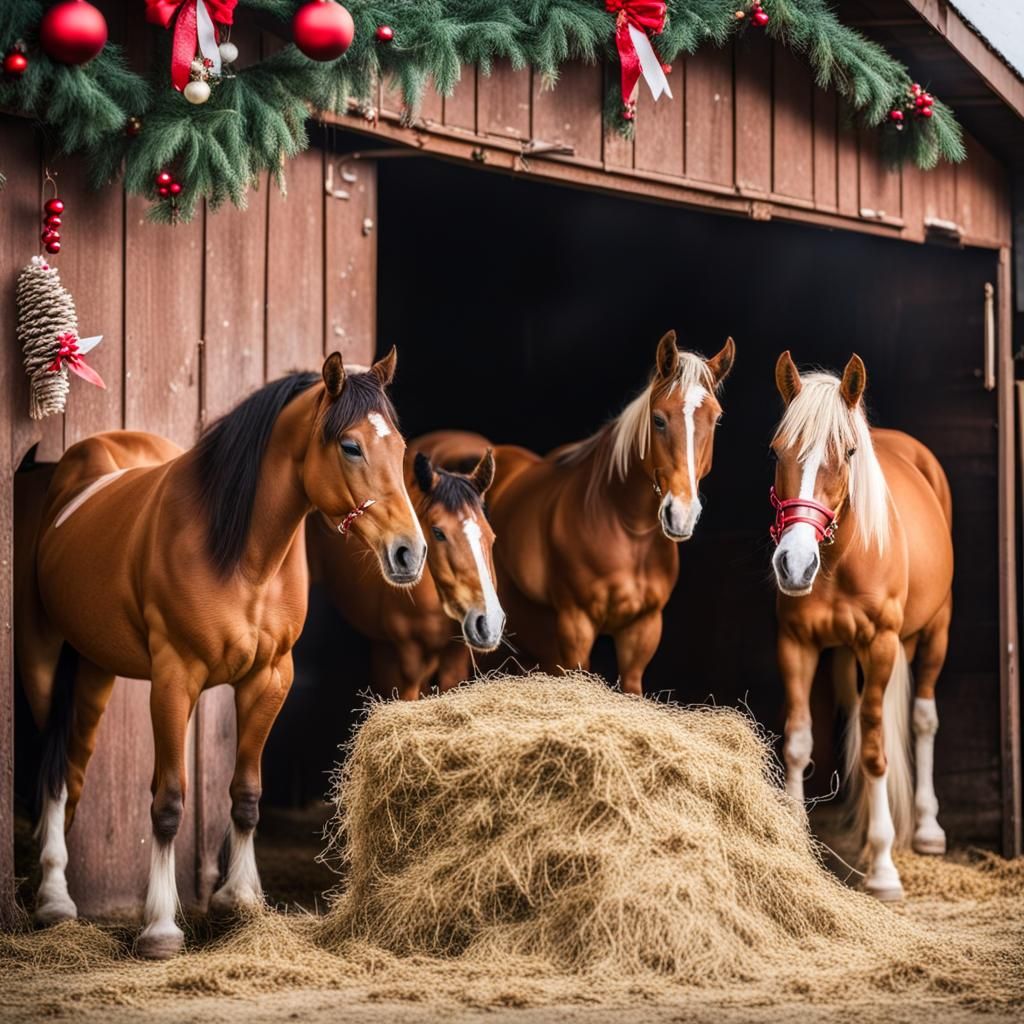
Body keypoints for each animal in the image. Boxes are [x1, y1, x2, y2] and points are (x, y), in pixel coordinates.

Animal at [15, 349, 427, 957]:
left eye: (398, 447)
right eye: (350, 446)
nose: (409, 552)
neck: (242, 555)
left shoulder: (270, 678)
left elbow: (247, 794)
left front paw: (240, 901)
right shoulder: (174, 680)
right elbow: (168, 803)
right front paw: (161, 927)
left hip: (93, 669)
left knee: (73, 768)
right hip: (42, 661)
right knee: (51, 774)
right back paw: (51, 899)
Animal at [416, 330, 734, 695]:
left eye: (716, 418)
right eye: (658, 419)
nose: (681, 514)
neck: (627, 530)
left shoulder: (643, 629)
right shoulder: (577, 623)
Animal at [768, 351, 953, 900]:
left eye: (848, 452)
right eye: (777, 452)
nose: (794, 565)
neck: (840, 562)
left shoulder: (882, 644)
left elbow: (875, 750)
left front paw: (884, 867)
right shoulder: (796, 644)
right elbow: (799, 742)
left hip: (933, 634)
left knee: (921, 719)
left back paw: (927, 829)